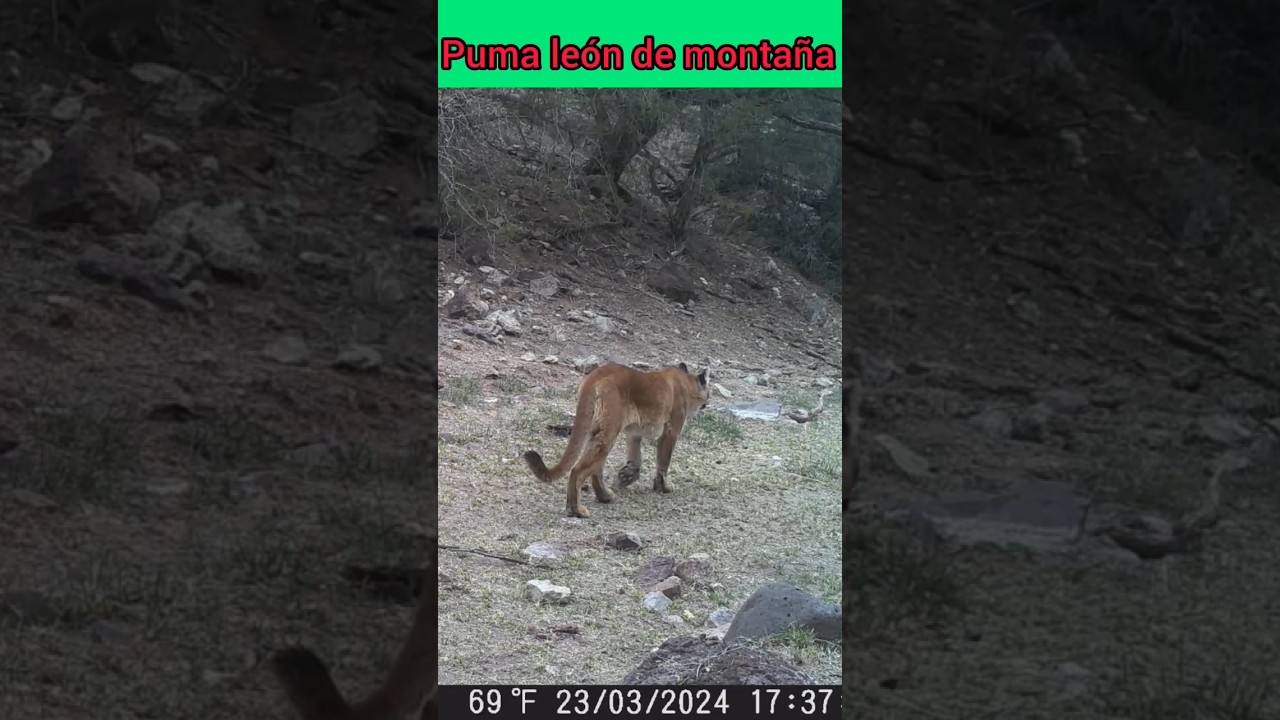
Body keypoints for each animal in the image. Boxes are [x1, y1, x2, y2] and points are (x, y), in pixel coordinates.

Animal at [523, 362, 711, 518]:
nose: (707, 403)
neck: (686, 382)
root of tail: (597, 372)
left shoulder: (634, 433)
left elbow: (635, 457)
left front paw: (626, 476)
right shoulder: (671, 432)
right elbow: (663, 461)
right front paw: (664, 487)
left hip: (597, 431)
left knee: (595, 469)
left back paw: (604, 497)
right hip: (609, 432)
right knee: (577, 470)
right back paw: (576, 510)